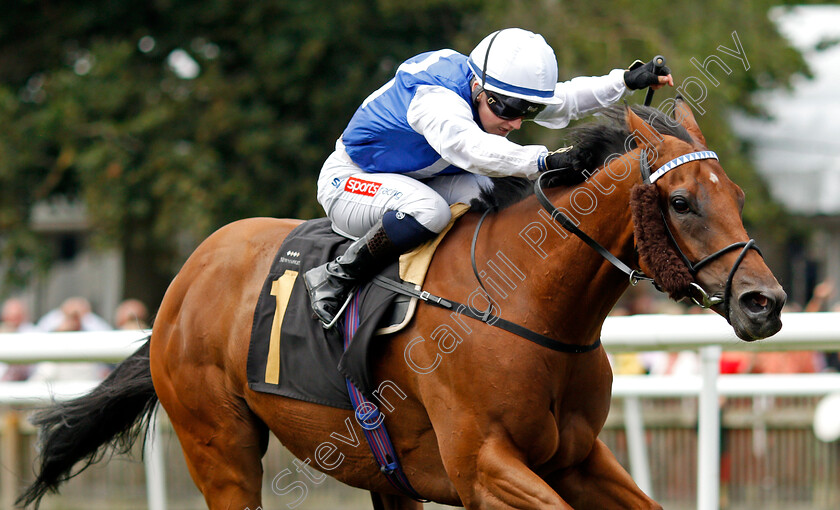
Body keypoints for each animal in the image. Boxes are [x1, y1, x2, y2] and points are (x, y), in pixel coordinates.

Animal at [16, 100, 784, 510]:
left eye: (738, 196)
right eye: (681, 202)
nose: (765, 302)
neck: (531, 305)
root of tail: (186, 278)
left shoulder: (576, 456)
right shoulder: (482, 466)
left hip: (380, 466)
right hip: (219, 443)